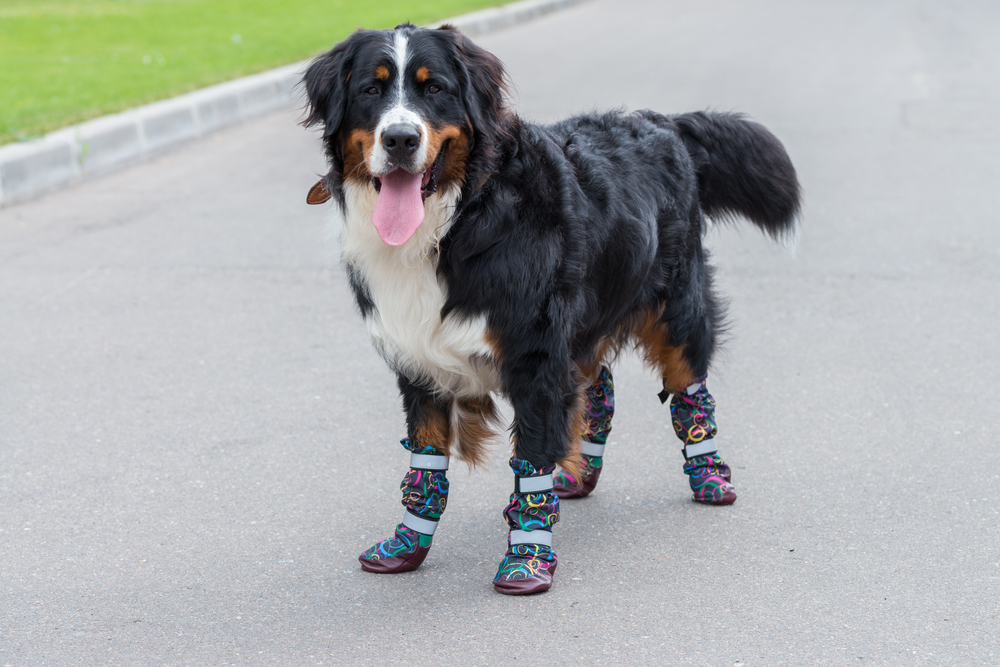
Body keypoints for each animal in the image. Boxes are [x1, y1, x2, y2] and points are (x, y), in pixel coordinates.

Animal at [300, 22, 800, 596]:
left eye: (434, 89)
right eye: (370, 90)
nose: (400, 139)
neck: (458, 219)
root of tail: (660, 121)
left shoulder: (535, 356)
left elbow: (532, 460)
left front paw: (528, 559)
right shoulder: (419, 361)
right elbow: (424, 461)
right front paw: (407, 545)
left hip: (679, 309)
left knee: (688, 390)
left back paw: (711, 475)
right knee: (597, 389)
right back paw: (580, 473)